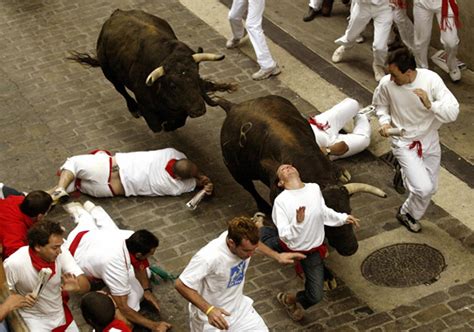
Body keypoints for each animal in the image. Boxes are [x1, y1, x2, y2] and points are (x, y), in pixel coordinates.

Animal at [68, 8, 235, 132]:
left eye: (196, 76)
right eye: (173, 85)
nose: (198, 110)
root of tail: (117, 13)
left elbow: (178, 121)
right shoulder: (148, 107)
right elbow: (156, 126)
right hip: (109, 72)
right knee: (120, 89)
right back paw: (133, 108)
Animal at [217, 94, 386, 255]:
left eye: (349, 210)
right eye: (325, 221)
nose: (351, 248)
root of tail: (233, 106)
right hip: (235, 170)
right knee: (250, 188)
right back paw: (264, 207)